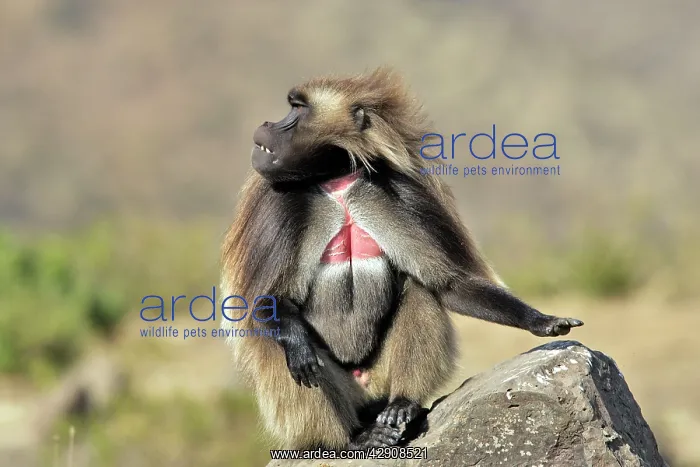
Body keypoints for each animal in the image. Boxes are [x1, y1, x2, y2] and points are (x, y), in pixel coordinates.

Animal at [219, 67, 583, 451]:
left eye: (297, 108)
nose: (267, 124)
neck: (337, 182)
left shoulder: (401, 193)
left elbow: (449, 284)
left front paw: (542, 320)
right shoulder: (278, 206)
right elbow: (265, 302)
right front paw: (298, 345)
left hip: (380, 380)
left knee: (419, 290)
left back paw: (401, 407)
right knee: (281, 348)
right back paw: (352, 438)